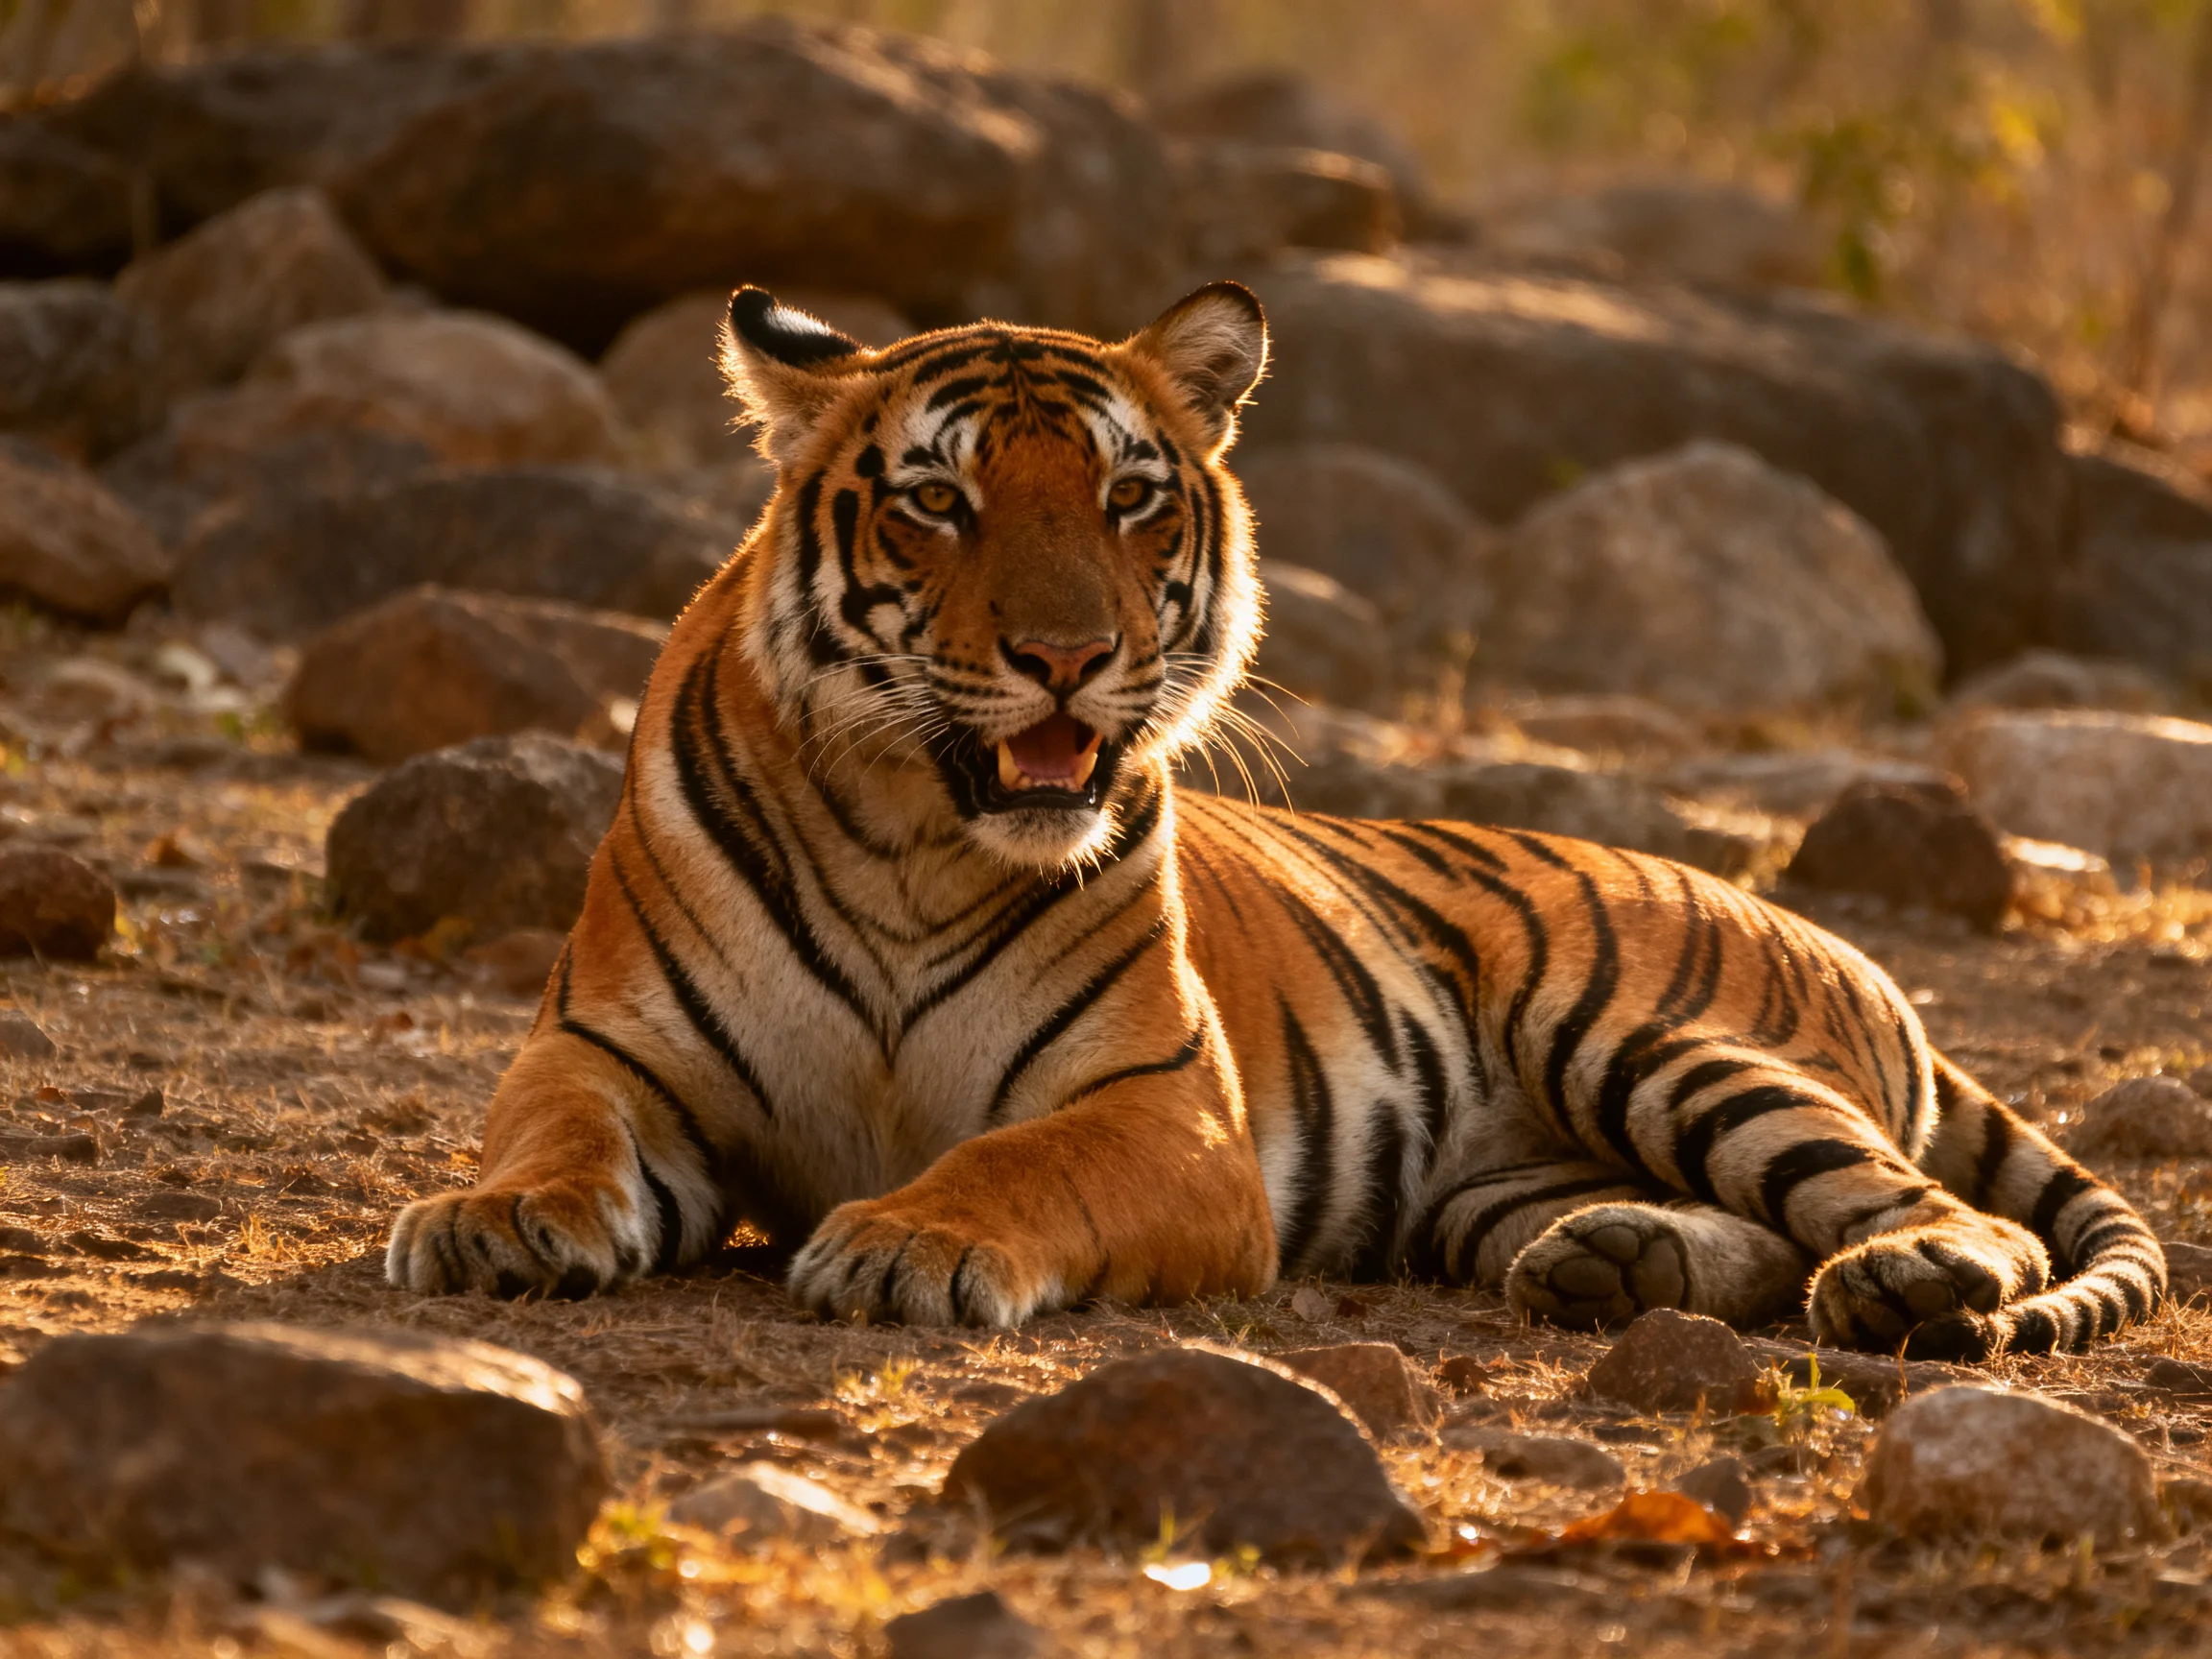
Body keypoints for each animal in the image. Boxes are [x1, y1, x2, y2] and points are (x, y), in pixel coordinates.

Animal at [386, 280, 2164, 1361]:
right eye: (938, 502)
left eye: (1128, 499)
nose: (1063, 656)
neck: (909, 839)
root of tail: (1847, 948)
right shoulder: (604, 1051)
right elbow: (551, 1135)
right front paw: (488, 1222)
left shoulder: (1160, 1111)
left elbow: (1014, 1161)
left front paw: (905, 1242)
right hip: (1487, 1184)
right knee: (1739, 1228)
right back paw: (1616, 1263)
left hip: (1644, 1034)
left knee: (1919, 1208)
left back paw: (1904, 1278)